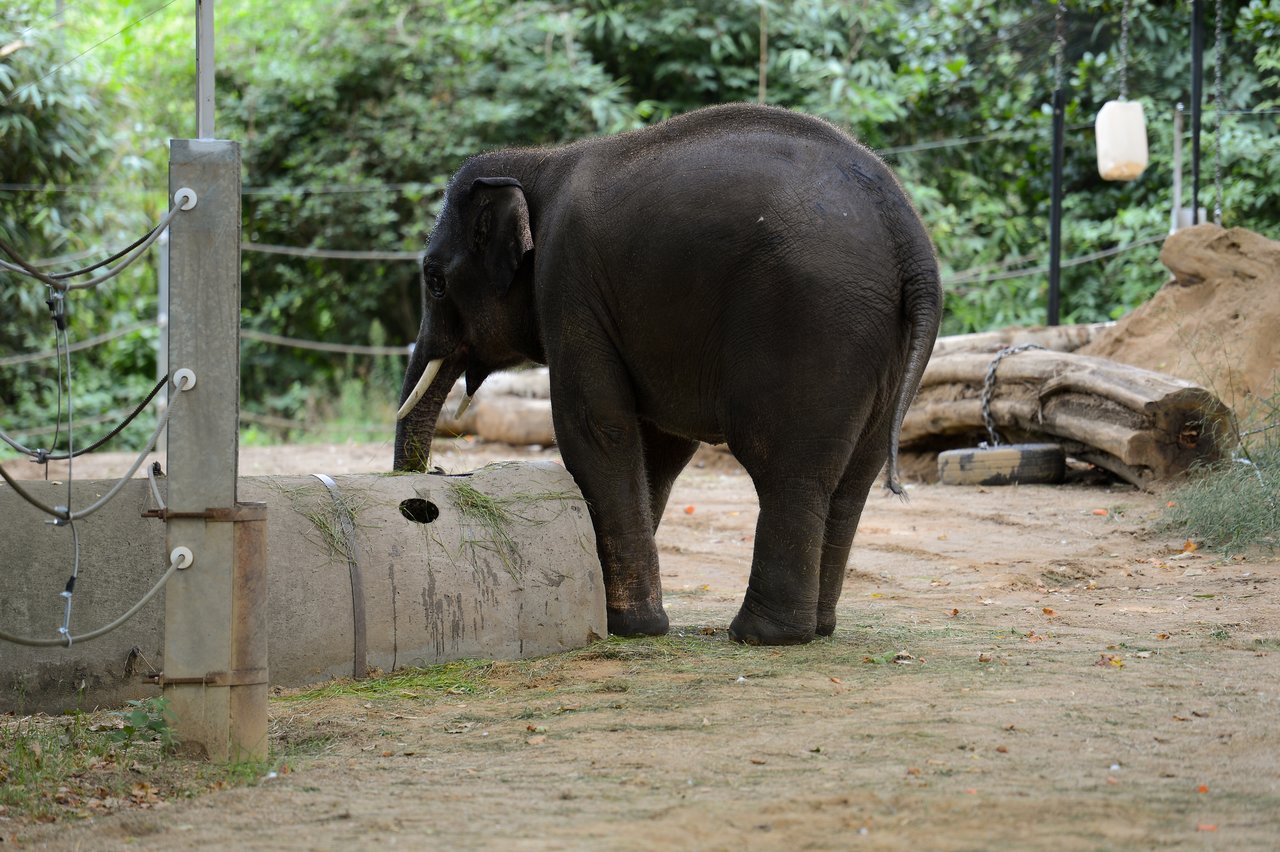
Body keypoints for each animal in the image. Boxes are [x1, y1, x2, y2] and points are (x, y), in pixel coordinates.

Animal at [394, 102, 942, 645]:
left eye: (435, 281)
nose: (428, 487)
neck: (539, 162)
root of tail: (910, 239)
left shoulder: (567, 284)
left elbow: (596, 428)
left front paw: (627, 628)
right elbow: (658, 447)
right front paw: (630, 620)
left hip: (813, 321)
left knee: (787, 468)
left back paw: (762, 635)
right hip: (882, 348)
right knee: (853, 479)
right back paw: (819, 629)